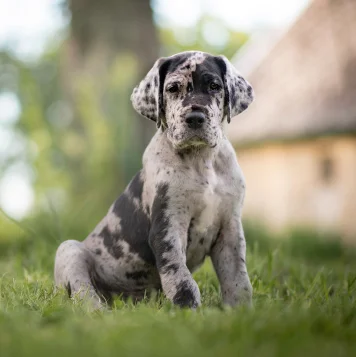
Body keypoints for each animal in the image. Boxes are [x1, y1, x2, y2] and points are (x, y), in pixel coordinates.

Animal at [54, 50, 254, 308]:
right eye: (172, 88)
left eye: (214, 86)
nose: (195, 118)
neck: (202, 161)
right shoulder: (168, 227)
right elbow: (179, 277)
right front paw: (187, 309)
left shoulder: (229, 230)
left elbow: (237, 280)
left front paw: (242, 311)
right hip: (69, 251)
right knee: (84, 293)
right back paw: (99, 311)